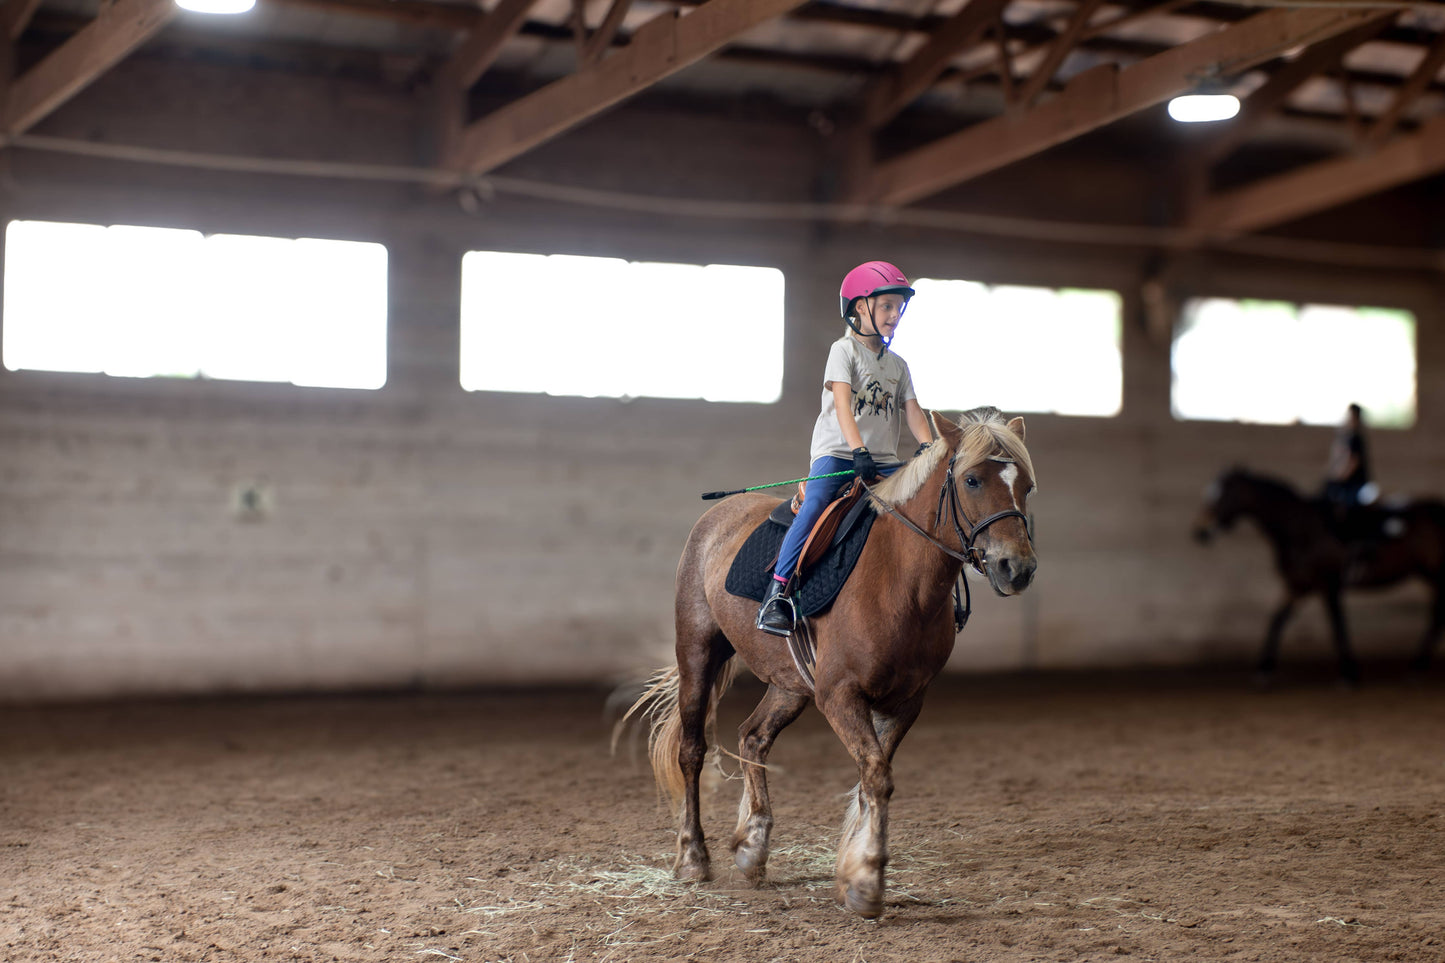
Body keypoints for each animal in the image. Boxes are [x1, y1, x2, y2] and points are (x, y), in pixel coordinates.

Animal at [619, 407, 1036, 919]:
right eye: (972, 480)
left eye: (1027, 486)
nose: (1017, 568)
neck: (900, 578)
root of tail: (716, 516)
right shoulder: (840, 695)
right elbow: (876, 777)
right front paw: (867, 881)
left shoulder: (905, 701)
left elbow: (868, 780)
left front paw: (853, 872)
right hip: (698, 652)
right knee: (693, 750)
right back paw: (693, 857)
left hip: (790, 682)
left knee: (753, 737)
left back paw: (752, 847)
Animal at [1192, 467, 1445, 685]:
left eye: (1223, 494)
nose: (1200, 532)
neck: (1301, 529)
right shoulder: (1298, 586)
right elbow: (1277, 621)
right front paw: (1264, 669)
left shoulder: (1328, 585)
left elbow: (1337, 626)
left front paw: (1349, 673)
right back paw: (1417, 666)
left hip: (1434, 575)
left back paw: (1417, 666)